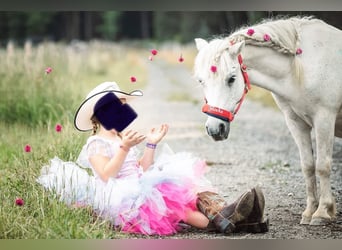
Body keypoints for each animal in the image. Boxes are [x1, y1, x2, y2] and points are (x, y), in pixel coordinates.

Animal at [194, 16, 340, 226]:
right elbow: (308, 166)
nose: (215, 129)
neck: (302, 67)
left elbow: (323, 166)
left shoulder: (324, 118)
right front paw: (309, 211)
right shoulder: (296, 122)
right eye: (201, 81)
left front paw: (321, 213)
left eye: (231, 79)